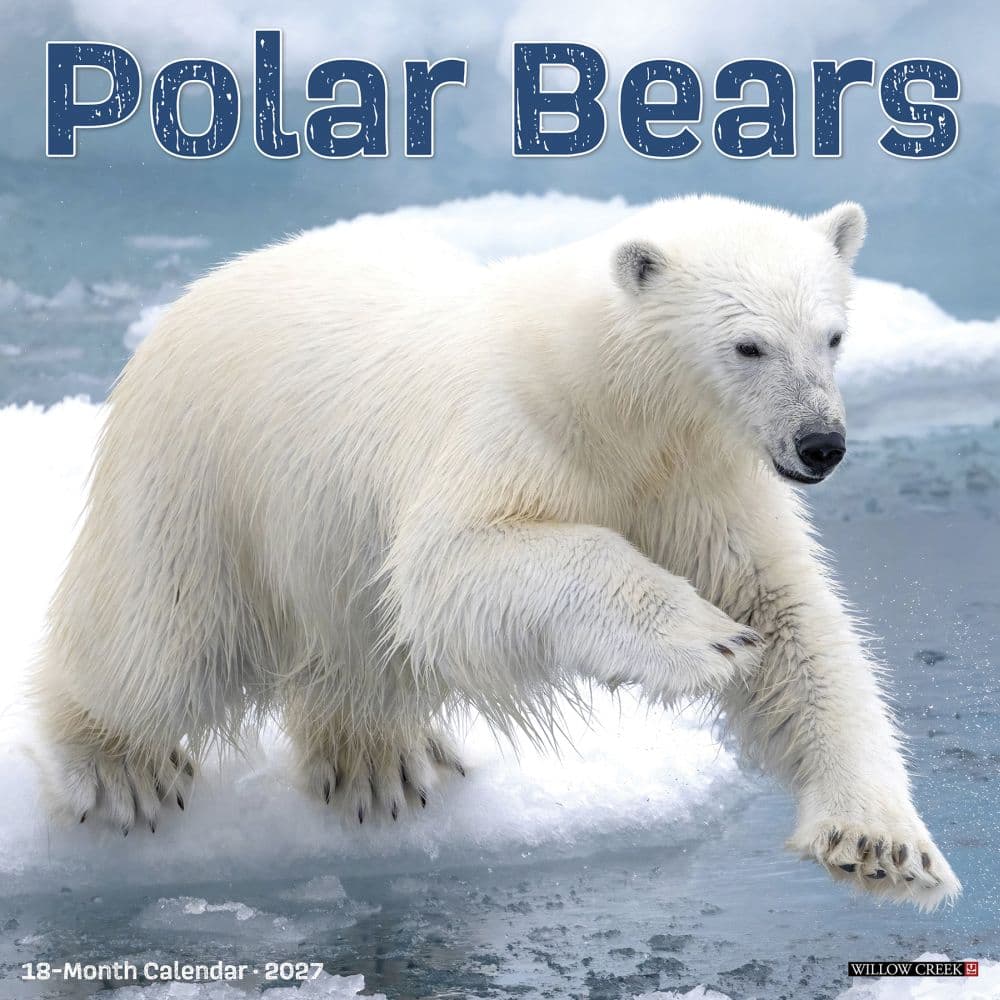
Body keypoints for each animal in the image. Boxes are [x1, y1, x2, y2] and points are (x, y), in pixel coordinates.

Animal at [33, 195, 960, 908]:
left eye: (833, 335)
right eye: (748, 344)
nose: (820, 444)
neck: (608, 398)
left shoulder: (703, 478)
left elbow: (792, 621)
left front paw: (883, 844)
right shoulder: (508, 429)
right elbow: (454, 566)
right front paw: (703, 638)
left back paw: (383, 760)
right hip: (203, 481)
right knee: (158, 644)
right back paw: (122, 769)